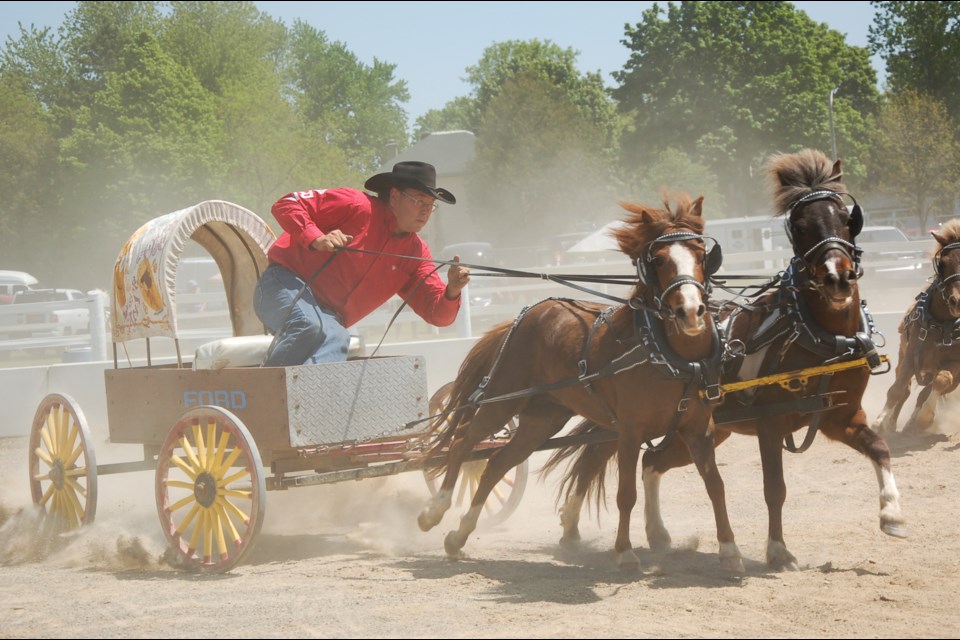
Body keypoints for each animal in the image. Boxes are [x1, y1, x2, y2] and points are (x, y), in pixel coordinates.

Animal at [416, 195, 748, 568]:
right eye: (659, 259)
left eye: (702, 254)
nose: (690, 311)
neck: (667, 354)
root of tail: (523, 317)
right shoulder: (630, 431)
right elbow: (626, 494)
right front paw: (625, 552)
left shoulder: (699, 428)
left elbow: (715, 484)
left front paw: (729, 550)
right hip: (503, 399)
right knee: (463, 443)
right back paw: (434, 511)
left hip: (542, 418)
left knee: (497, 464)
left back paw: (459, 535)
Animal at [548, 150, 908, 568]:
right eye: (800, 226)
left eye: (847, 218)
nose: (837, 277)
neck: (817, 334)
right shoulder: (771, 423)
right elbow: (775, 488)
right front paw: (778, 550)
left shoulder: (841, 417)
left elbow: (880, 448)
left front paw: (892, 513)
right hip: (636, 422)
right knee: (597, 458)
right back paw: (572, 526)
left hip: (700, 428)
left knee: (650, 464)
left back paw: (656, 533)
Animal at [872, 220, 960, 436]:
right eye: (943, 263)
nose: (958, 301)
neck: (944, 326)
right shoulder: (911, 355)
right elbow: (898, 389)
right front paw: (881, 422)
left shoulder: (956, 366)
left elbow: (942, 380)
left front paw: (924, 419)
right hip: (903, 356)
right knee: (906, 390)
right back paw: (892, 422)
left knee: (927, 390)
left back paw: (914, 421)